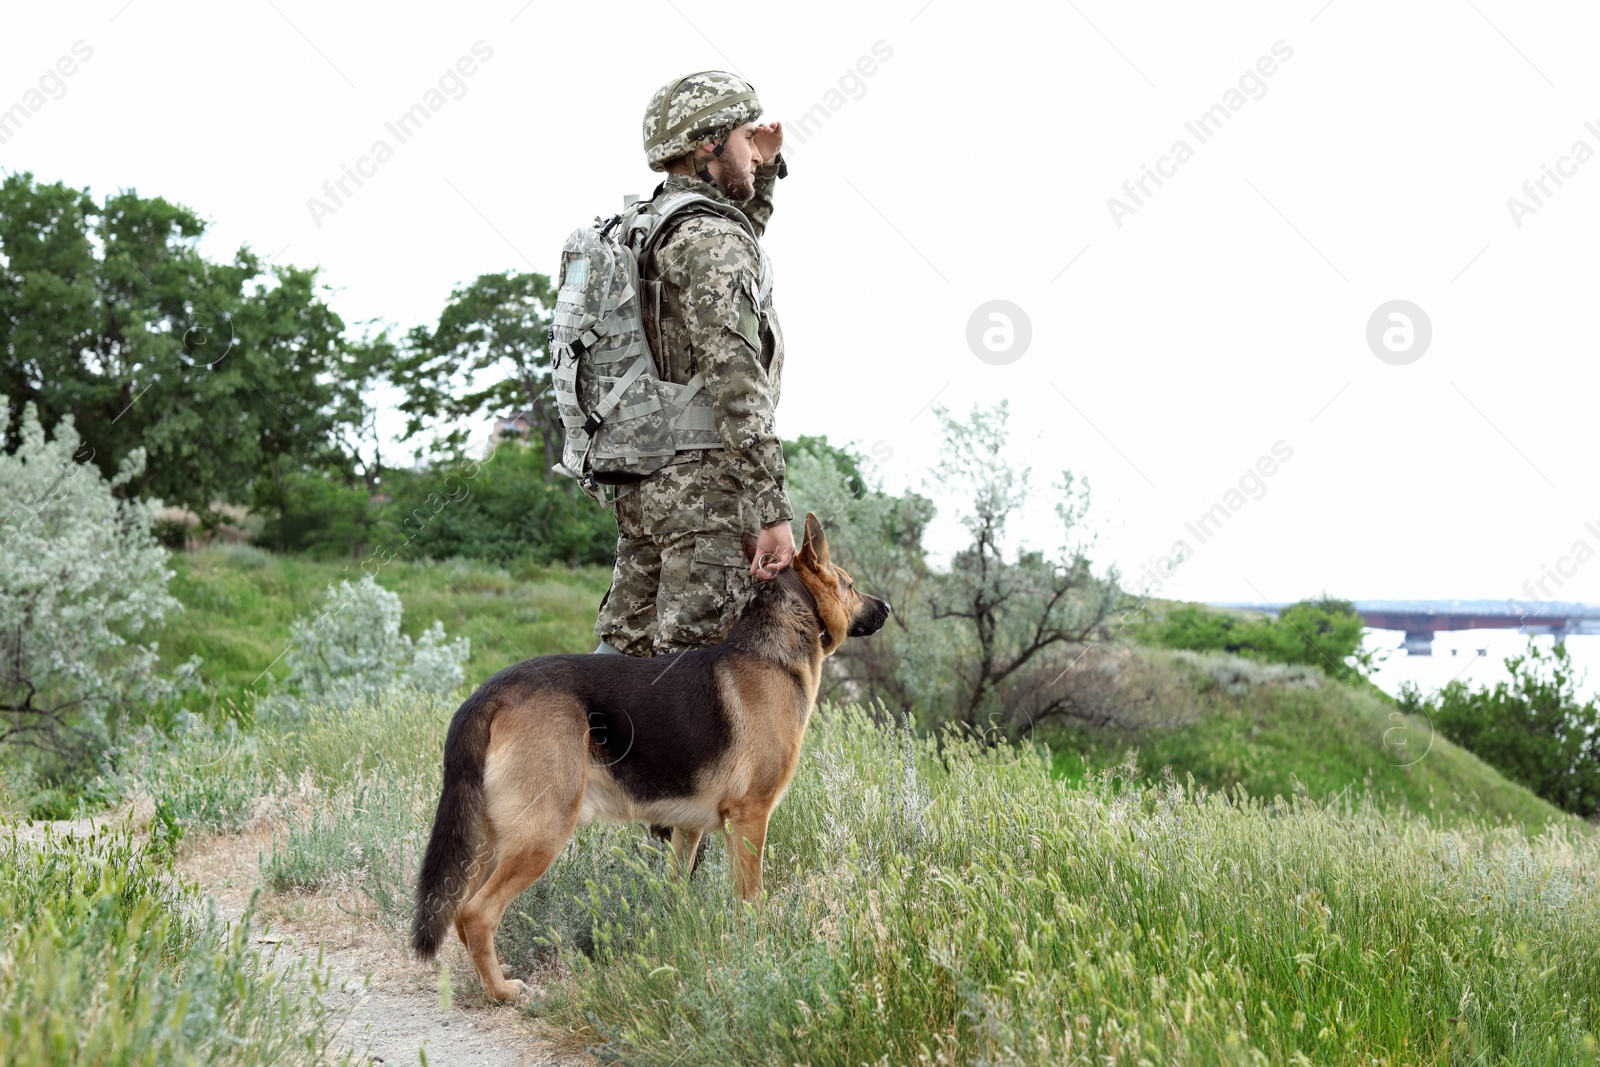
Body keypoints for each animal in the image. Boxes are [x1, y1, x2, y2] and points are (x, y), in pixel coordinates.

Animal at [412, 515, 889, 1004]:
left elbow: (678, 887)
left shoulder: (689, 828)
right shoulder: (751, 817)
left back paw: (492, 975)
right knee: (475, 912)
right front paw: (759, 951)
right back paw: (502, 992)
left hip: (494, 838)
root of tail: (490, 691)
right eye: (850, 585)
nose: (887, 608)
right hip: (541, 832)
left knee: (461, 910)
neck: (773, 648)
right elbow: (751, 898)